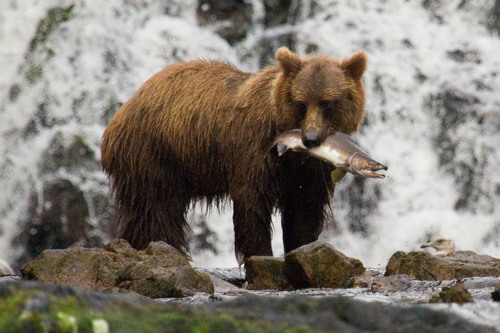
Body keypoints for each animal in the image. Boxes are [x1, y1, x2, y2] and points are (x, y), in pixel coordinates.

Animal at [101, 47, 368, 264]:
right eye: (300, 102)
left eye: (328, 103)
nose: (310, 138)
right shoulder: (254, 149)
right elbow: (252, 203)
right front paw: (262, 254)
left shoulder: (310, 170)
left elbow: (304, 207)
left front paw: (302, 247)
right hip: (155, 152)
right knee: (157, 207)